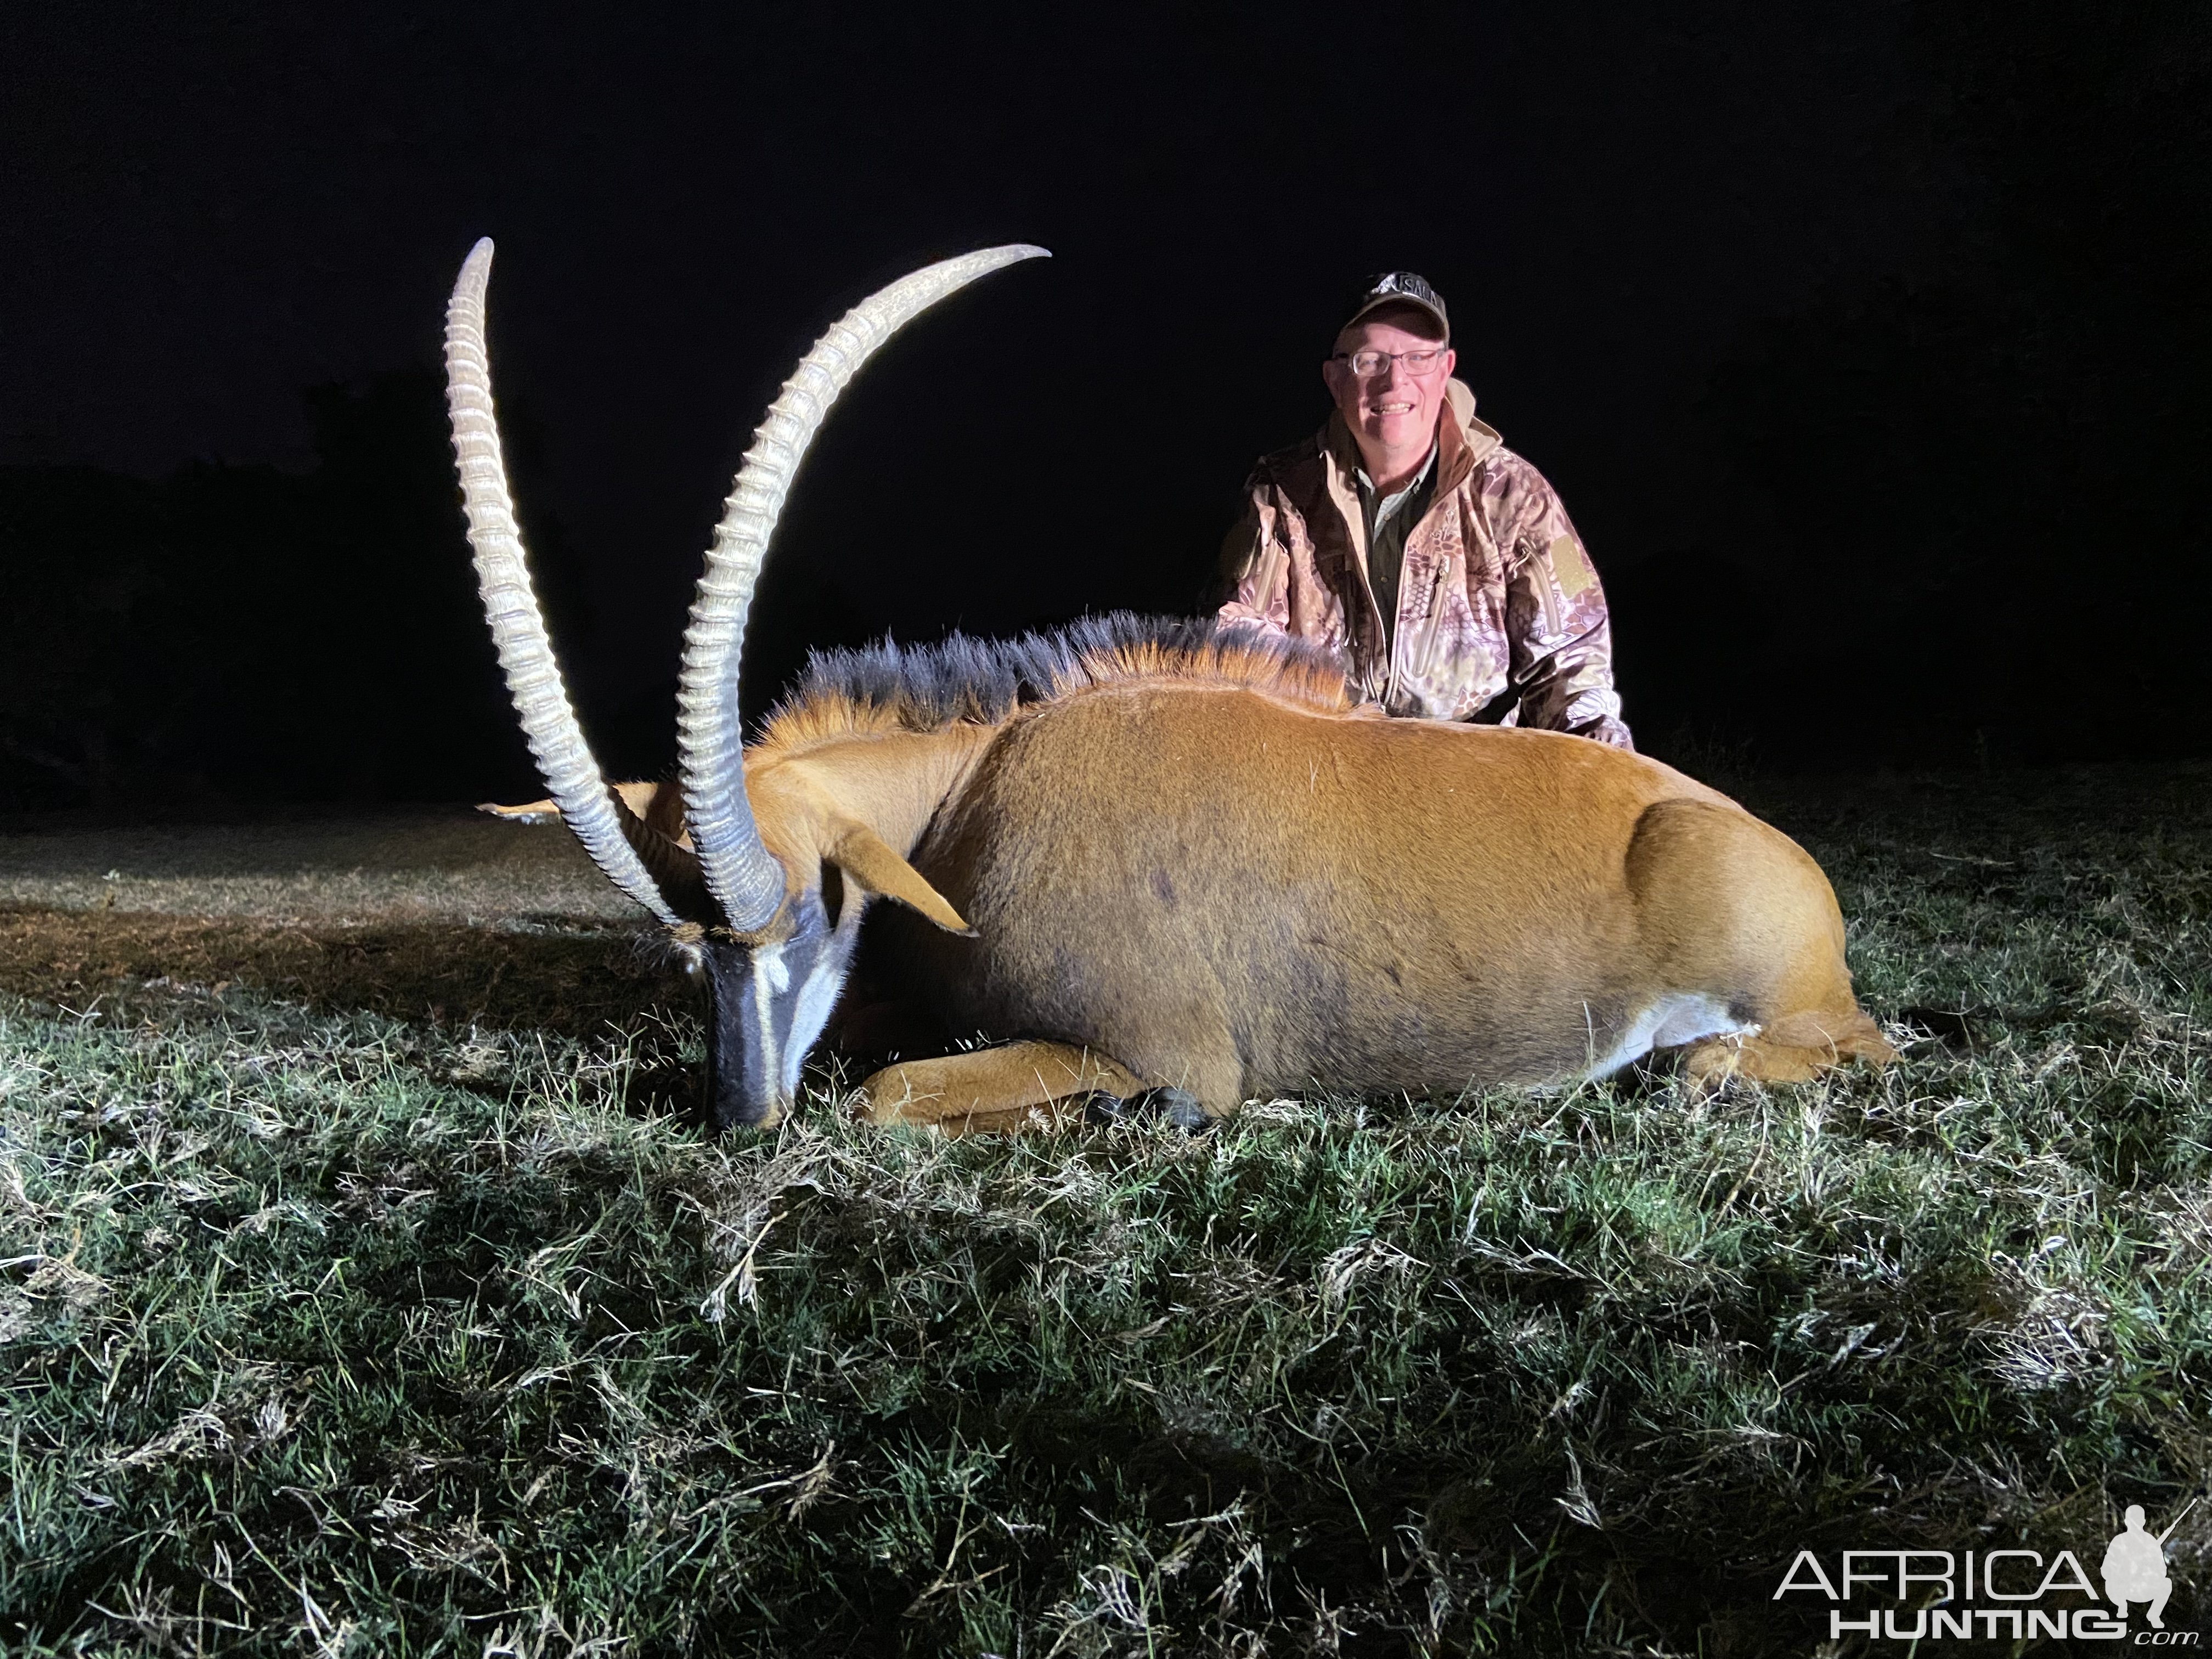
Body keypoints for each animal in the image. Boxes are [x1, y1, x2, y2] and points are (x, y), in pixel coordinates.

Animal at [440, 240, 1893, 1141]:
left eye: (803, 910)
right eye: (685, 951)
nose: (743, 1118)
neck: (973, 793)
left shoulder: (1156, 1050)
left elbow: (887, 1094)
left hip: (1794, 1009)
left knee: (1840, 1046)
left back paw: (1705, 1070)